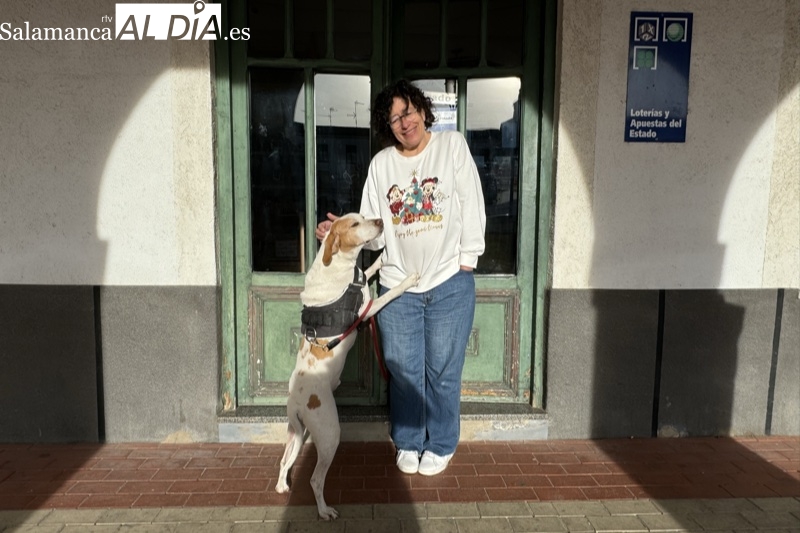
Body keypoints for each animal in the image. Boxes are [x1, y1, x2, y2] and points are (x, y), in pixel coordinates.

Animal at [276, 212, 418, 520]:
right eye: (354, 224)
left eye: (364, 217)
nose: (380, 222)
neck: (337, 262)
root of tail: (296, 400)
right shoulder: (369, 308)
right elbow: (389, 293)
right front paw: (408, 279)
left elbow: (368, 269)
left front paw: (381, 260)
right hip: (329, 435)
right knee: (315, 479)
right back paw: (324, 510)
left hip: (297, 433)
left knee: (284, 461)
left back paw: (282, 486)